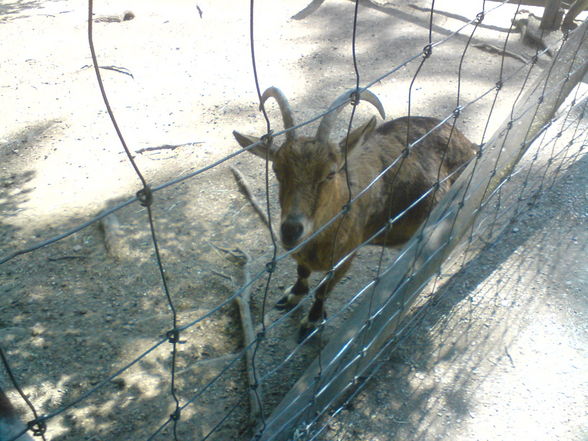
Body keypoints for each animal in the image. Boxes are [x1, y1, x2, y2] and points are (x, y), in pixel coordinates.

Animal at [232, 86, 476, 340]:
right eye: (277, 171)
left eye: (330, 173)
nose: (291, 230)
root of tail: (468, 143)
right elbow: (302, 271)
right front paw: (293, 295)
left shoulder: (346, 257)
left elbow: (323, 291)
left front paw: (312, 322)